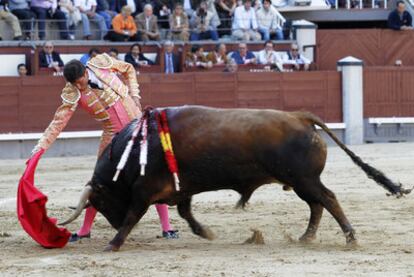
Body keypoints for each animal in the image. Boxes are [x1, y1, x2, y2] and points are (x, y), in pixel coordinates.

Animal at [60, 105, 410, 250]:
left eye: (101, 200)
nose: (113, 223)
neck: (137, 149)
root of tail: (301, 117)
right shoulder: (181, 188)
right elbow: (186, 213)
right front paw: (207, 233)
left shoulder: (145, 191)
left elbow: (135, 215)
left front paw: (114, 243)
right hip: (302, 183)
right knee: (317, 204)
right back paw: (306, 237)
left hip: (304, 180)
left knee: (328, 199)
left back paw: (349, 237)